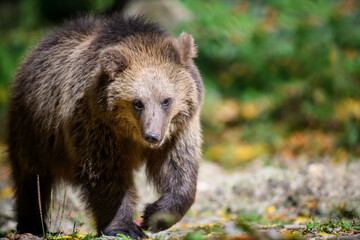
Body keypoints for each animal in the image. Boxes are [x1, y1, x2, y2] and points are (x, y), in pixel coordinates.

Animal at [7, 14, 202, 239]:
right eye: (138, 102)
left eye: (166, 100)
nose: (152, 136)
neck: (131, 135)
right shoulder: (97, 125)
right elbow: (107, 173)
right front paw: (124, 227)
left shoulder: (178, 130)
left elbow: (179, 167)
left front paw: (154, 216)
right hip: (35, 130)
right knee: (32, 177)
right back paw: (32, 225)